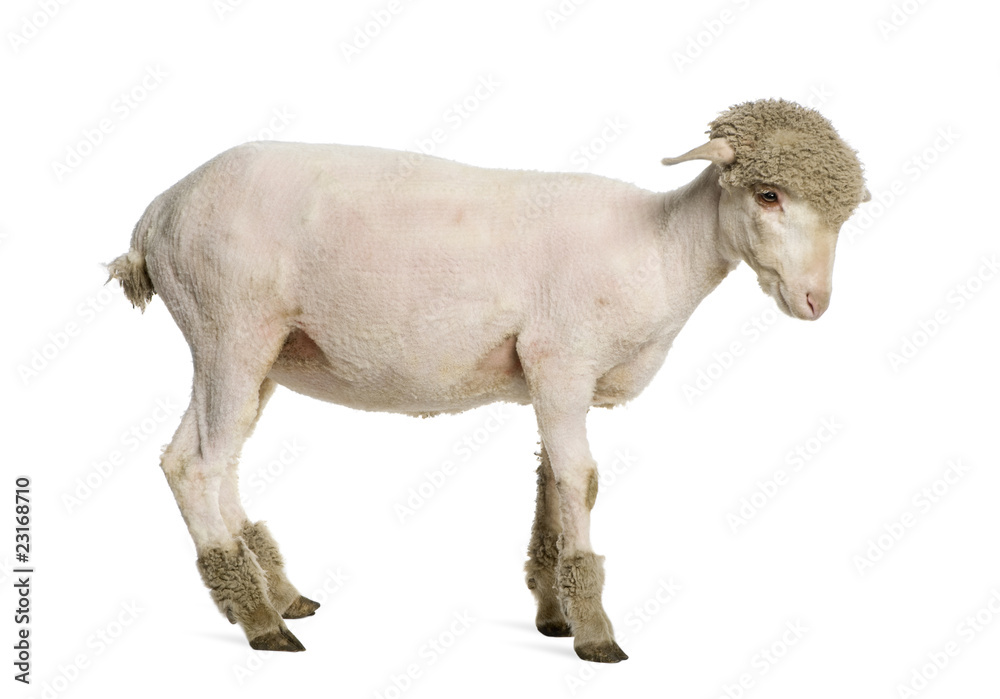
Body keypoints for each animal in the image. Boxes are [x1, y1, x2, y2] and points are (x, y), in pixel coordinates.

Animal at [107, 98, 867, 662]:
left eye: (844, 213)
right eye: (767, 194)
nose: (815, 302)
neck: (662, 249)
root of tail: (157, 213)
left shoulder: (546, 375)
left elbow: (551, 482)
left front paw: (554, 613)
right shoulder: (562, 359)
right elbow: (581, 480)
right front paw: (596, 634)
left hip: (247, 347)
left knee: (195, 460)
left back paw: (279, 593)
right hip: (230, 326)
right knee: (201, 466)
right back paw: (262, 621)